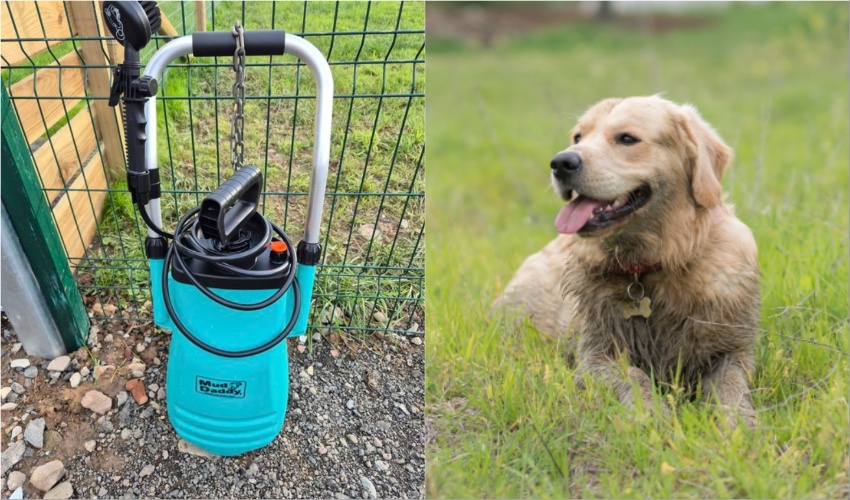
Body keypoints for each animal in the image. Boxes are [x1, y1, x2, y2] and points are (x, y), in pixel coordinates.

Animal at [494, 95, 760, 428]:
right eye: (577, 137)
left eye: (627, 139)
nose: (560, 163)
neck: (656, 262)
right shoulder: (596, 354)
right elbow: (633, 376)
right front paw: (652, 413)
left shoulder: (733, 348)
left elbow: (731, 384)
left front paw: (739, 421)